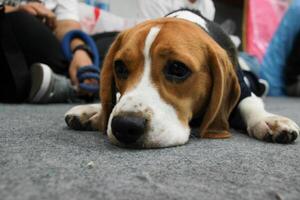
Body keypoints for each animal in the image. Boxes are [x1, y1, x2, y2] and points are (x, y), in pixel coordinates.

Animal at [64, 8, 298, 148]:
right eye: (120, 67)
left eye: (178, 69)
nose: (124, 126)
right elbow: (117, 99)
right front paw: (95, 111)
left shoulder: (242, 87)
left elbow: (250, 103)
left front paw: (268, 120)